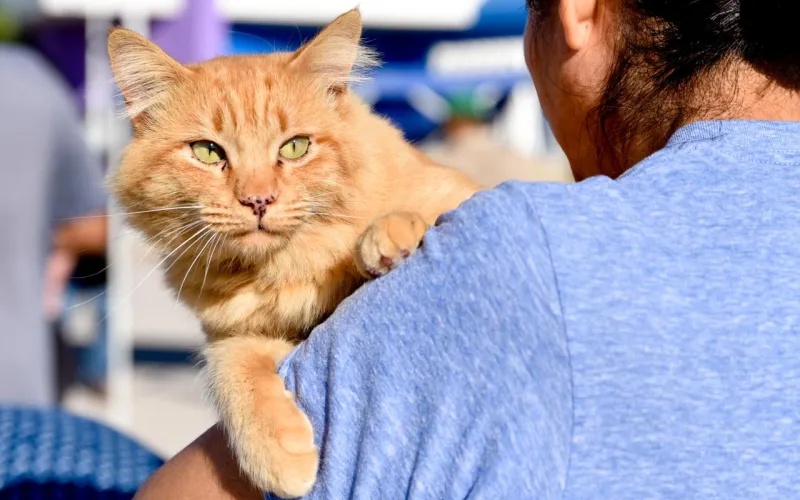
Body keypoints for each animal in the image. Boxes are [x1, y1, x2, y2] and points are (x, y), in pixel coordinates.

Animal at [107, 9, 480, 498]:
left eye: (295, 147)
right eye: (207, 152)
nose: (258, 200)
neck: (288, 269)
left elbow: (420, 212)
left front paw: (387, 237)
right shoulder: (235, 333)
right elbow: (229, 368)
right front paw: (281, 458)